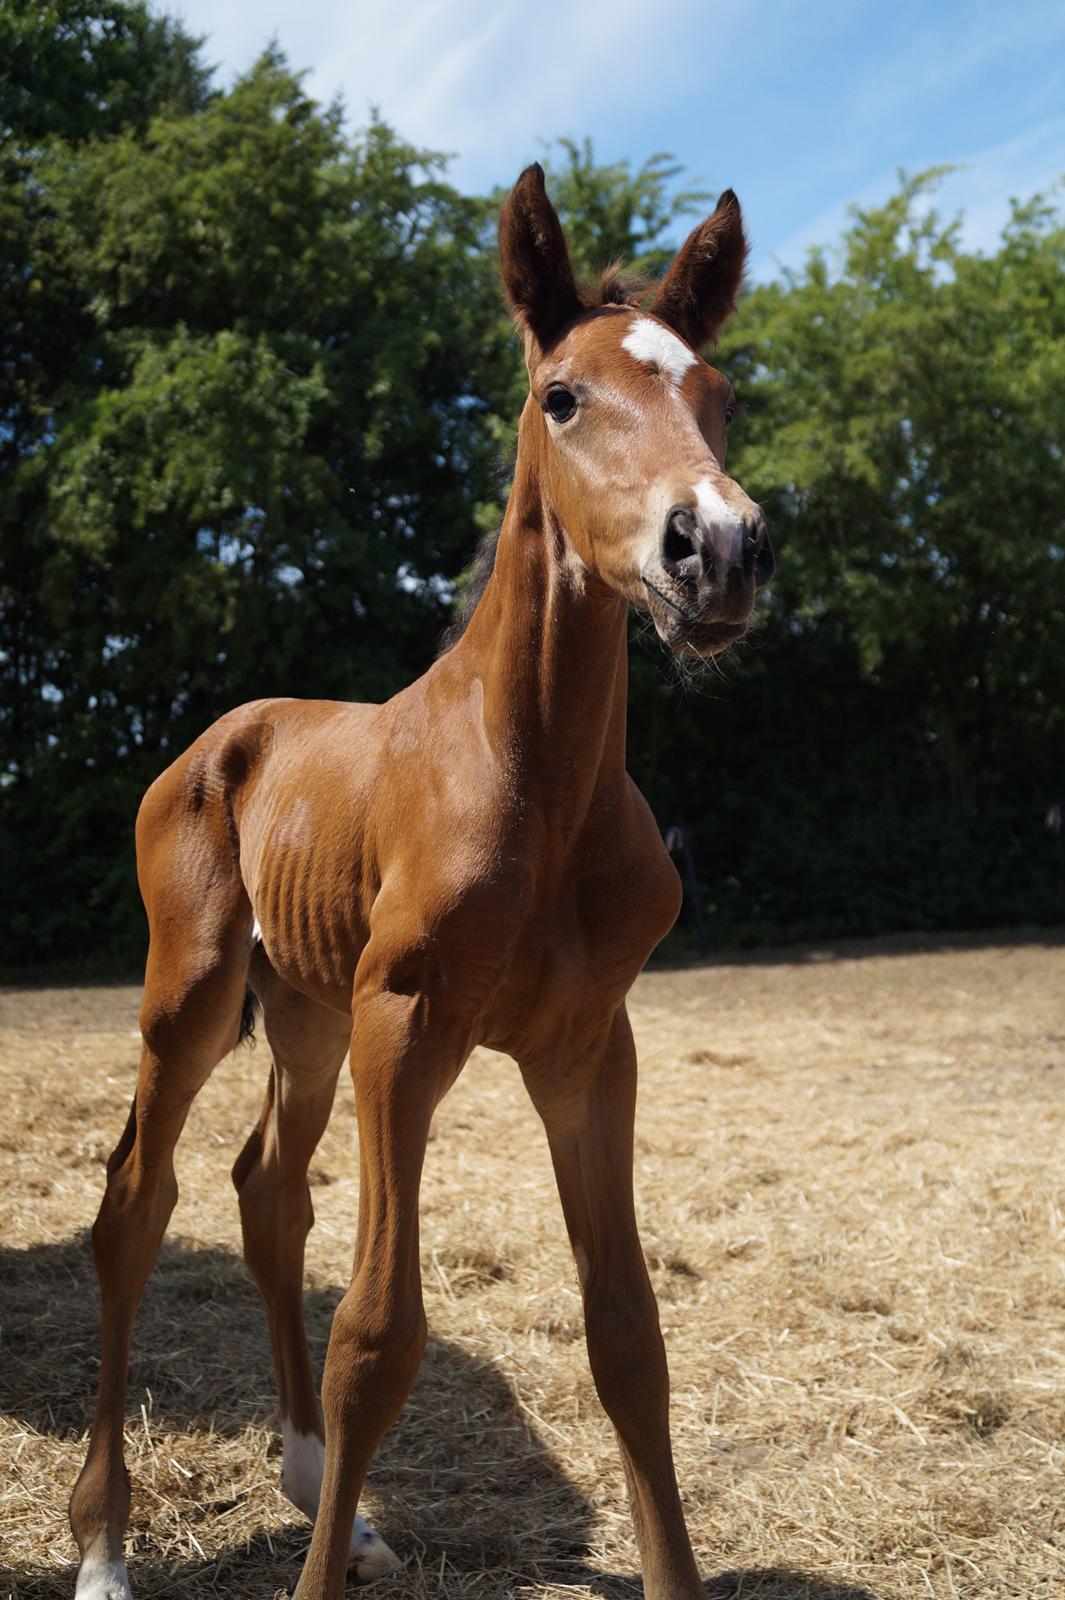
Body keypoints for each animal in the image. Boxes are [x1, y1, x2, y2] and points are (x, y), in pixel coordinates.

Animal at [72, 165, 770, 1600]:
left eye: (720, 395)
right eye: (561, 395)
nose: (718, 549)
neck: (535, 783)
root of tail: (218, 736)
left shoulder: (587, 1048)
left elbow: (629, 1336)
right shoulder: (406, 1026)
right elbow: (379, 1337)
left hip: (304, 1013)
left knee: (266, 1194)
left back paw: (309, 1485)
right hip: (196, 997)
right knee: (133, 1208)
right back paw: (104, 1542)